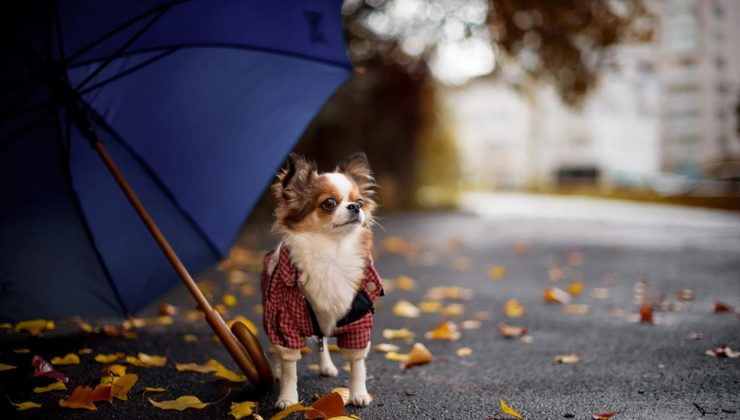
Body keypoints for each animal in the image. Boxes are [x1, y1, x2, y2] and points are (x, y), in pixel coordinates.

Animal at [260, 153, 384, 408]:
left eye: (359, 200)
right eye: (329, 203)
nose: (356, 207)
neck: (332, 252)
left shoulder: (358, 319)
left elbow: (358, 364)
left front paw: (358, 393)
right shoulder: (283, 321)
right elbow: (289, 367)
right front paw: (287, 398)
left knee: (322, 340)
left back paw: (326, 366)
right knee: (279, 350)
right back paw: (276, 369)